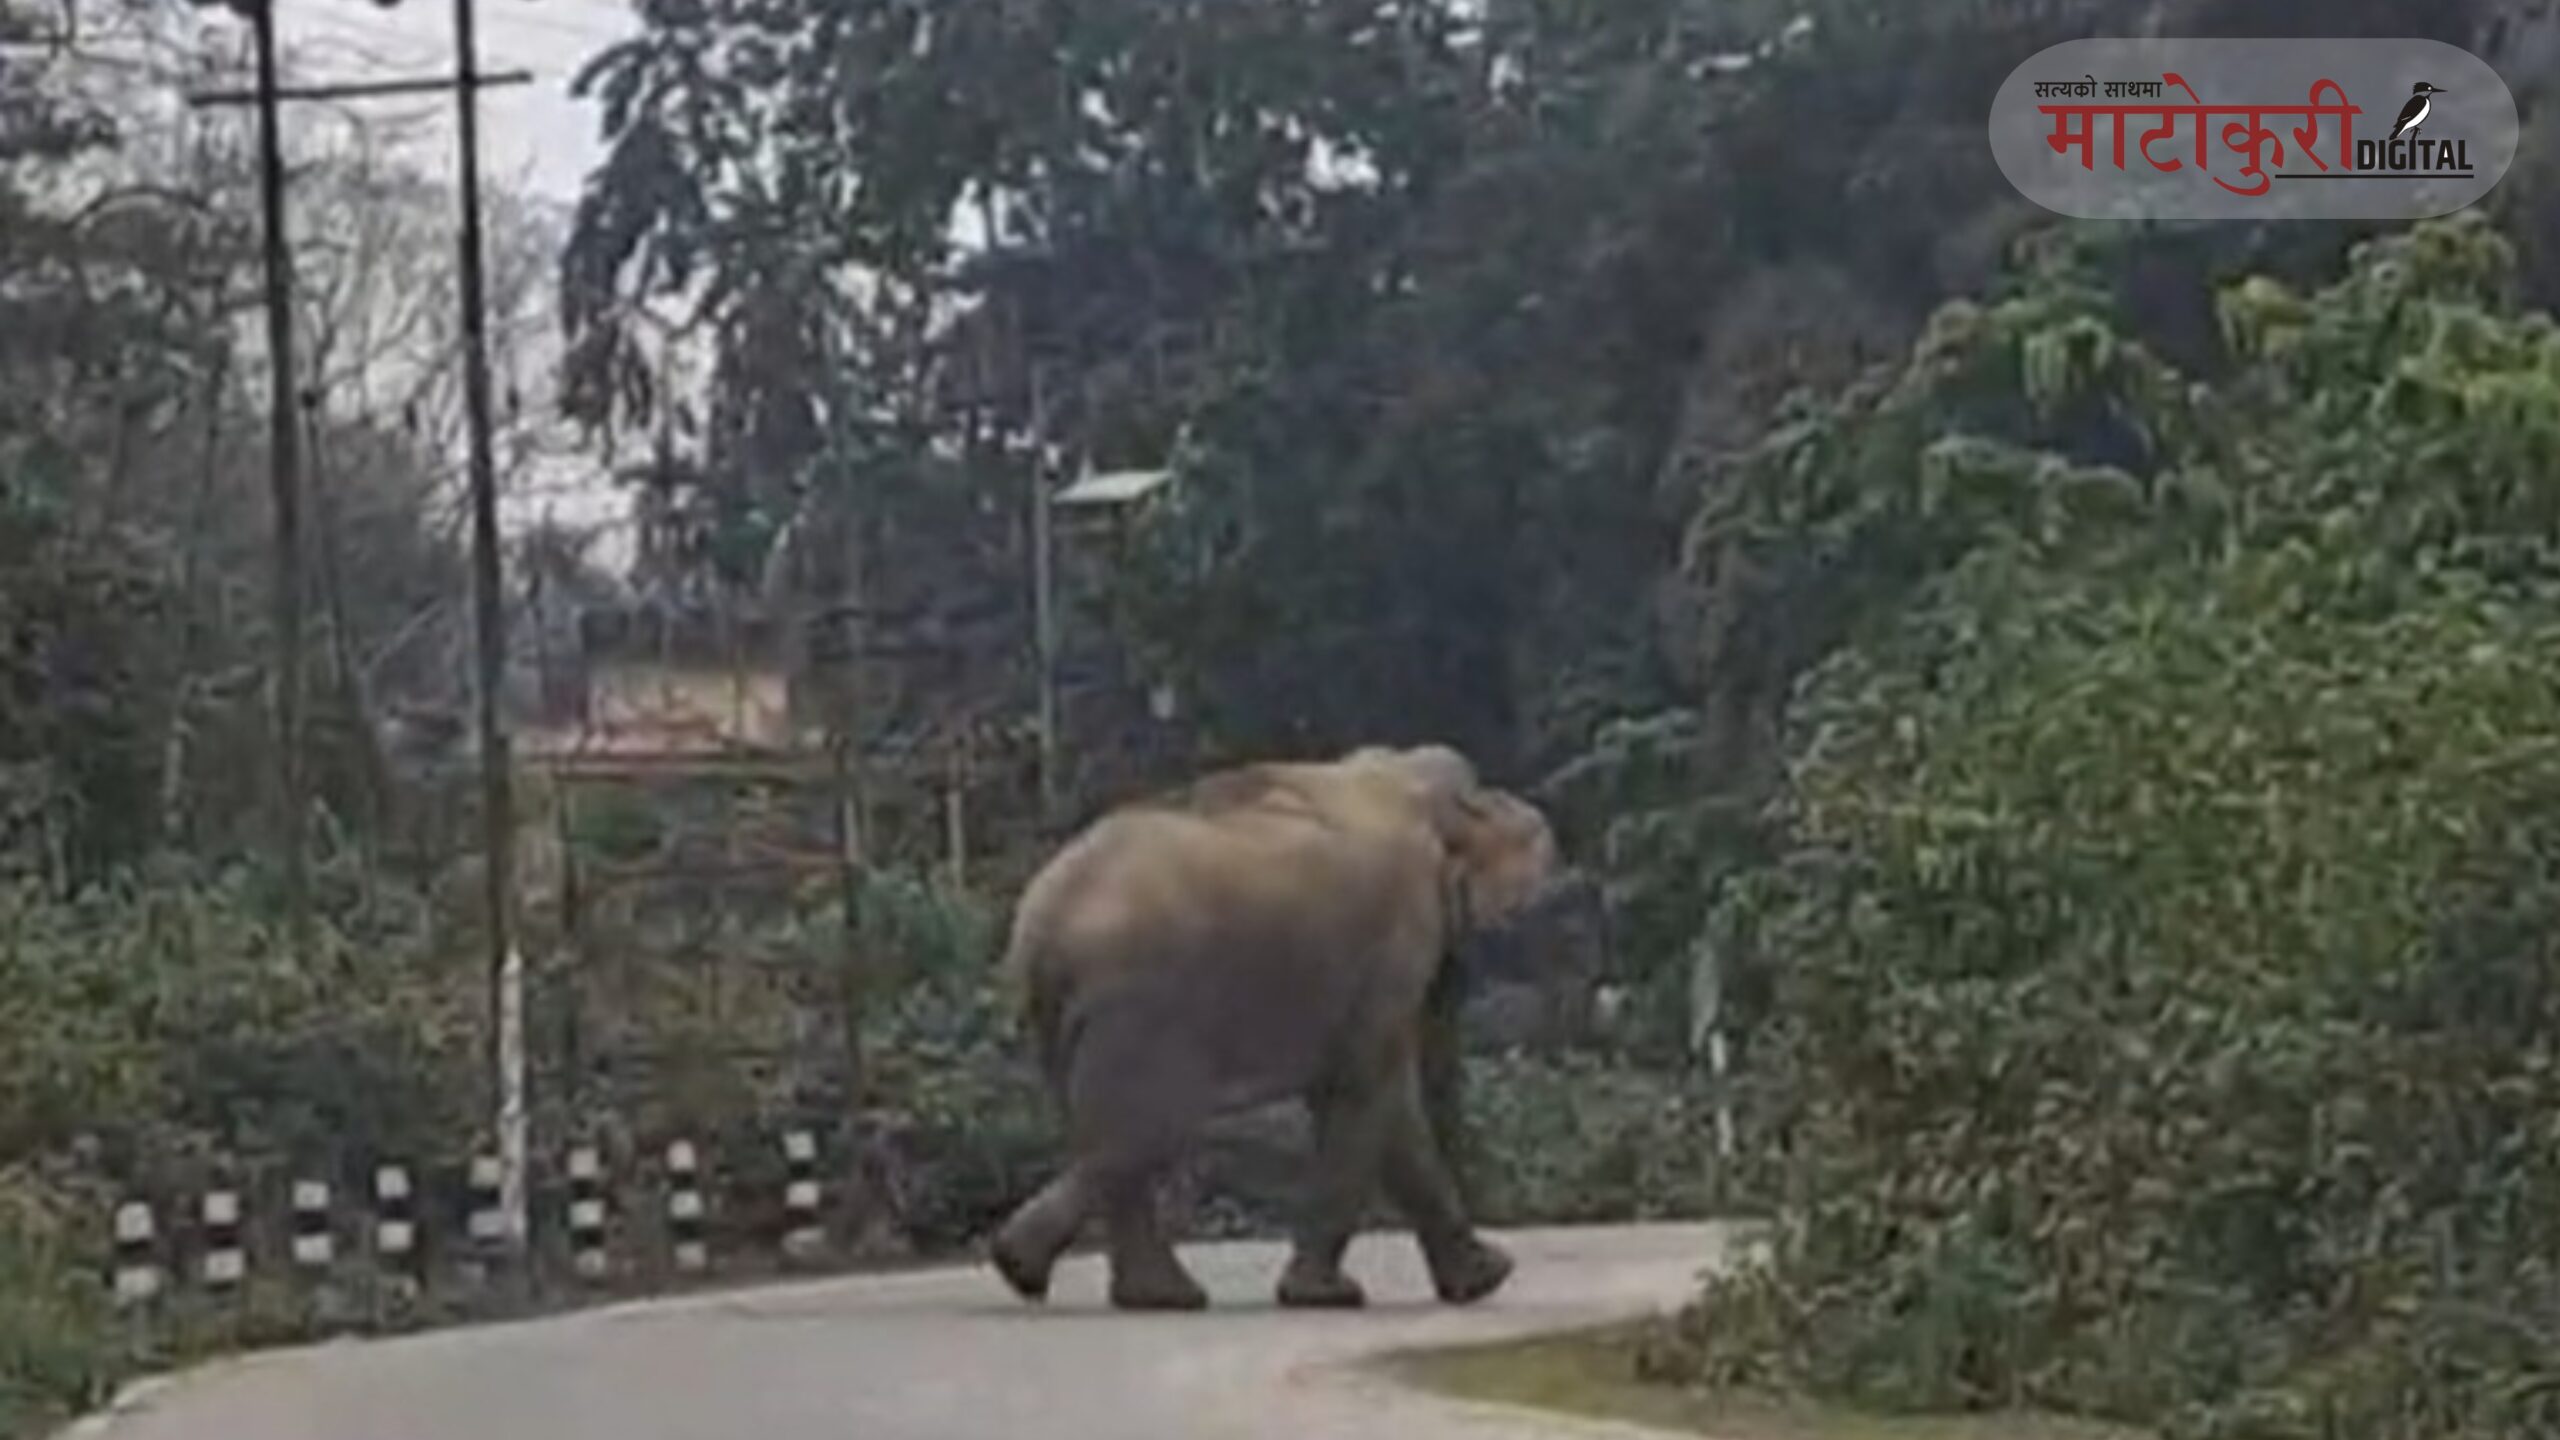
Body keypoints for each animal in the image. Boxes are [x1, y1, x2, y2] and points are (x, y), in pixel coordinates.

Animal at [988, 743, 1587, 1306]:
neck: (1413, 783)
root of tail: (1043, 917)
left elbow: (1371, 1104)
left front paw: (1483, 1279)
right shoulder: (1396, 937)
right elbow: (1370, 1093)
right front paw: (1331, 1296)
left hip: (1065, 1013)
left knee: (1108, 1135)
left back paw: (1144, 1295)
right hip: (1139, 1005)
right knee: (1147, 1129)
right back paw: (1029, 1267)